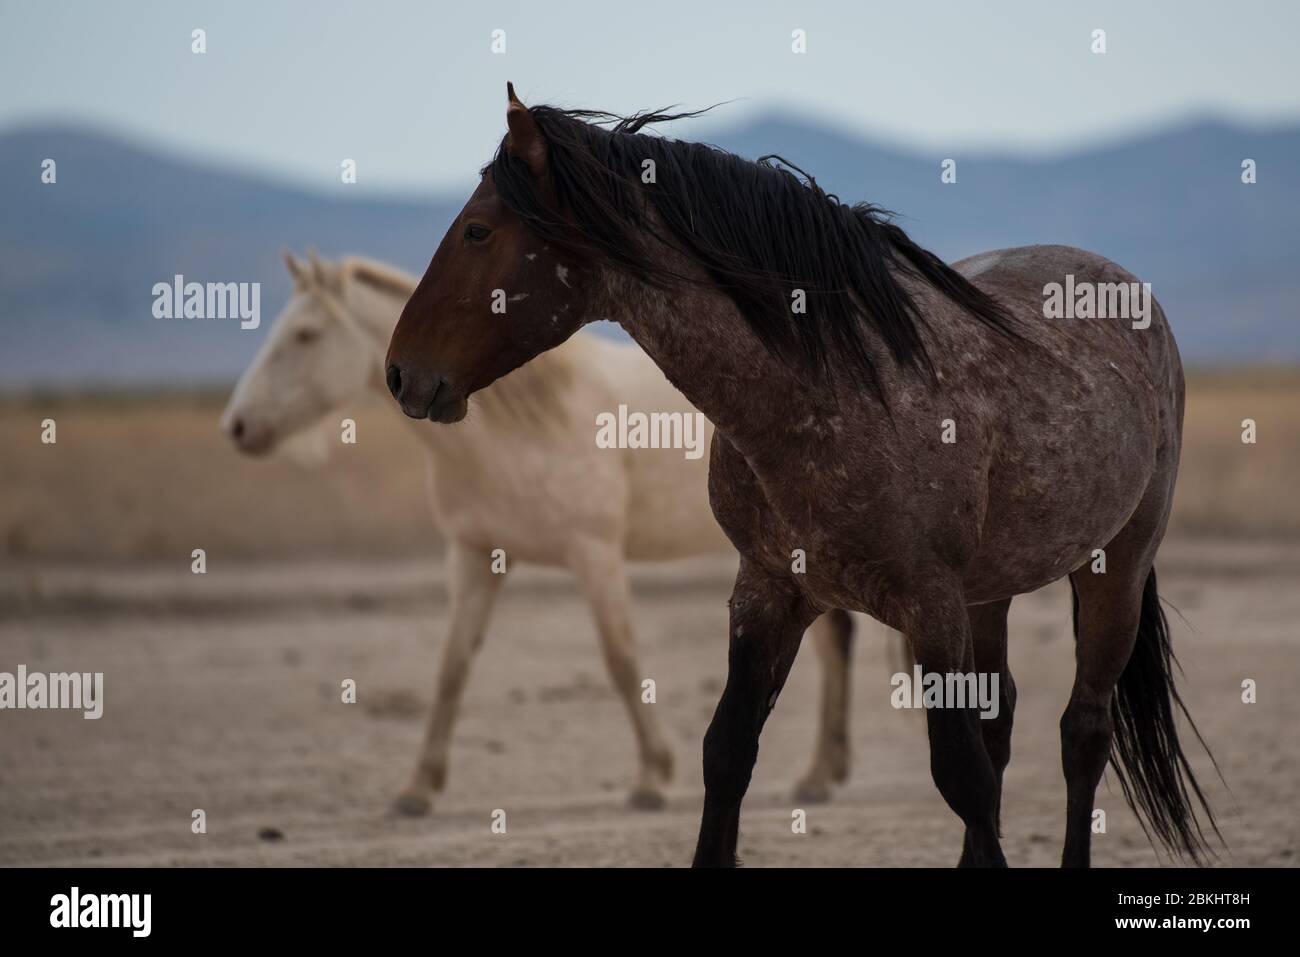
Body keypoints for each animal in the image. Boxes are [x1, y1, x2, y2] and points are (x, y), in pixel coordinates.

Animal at [220, 250, 862, 815]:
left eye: (305, 335)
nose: (238, 426)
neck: (516, 427)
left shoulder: (594, 554)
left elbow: (621, 659)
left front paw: (652, 777)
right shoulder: (474, 556)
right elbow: (451, 669)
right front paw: (419, 788)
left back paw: (817, 777)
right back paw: (824, 773)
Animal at [384, 83, 1221, 867]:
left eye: (479, 230)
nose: (398, 373)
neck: (827, 394)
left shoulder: (930, 608)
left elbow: (962, 778)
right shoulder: (769, 591)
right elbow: (727, 754)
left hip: (1114, 566)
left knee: (1083, 731)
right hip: (992, 590)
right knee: (1005, 720)